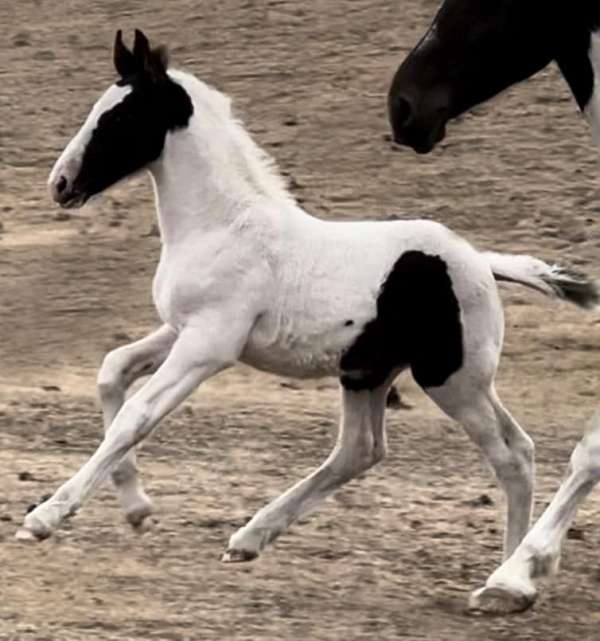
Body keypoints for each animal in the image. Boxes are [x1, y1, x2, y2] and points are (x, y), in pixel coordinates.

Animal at [18, 30, 600, 576]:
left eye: (119, 116)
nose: (60, 184)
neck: (224, 225)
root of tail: (480, 260)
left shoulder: (208, 345)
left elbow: (136, 415)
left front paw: (44, 517)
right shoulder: (182, 330)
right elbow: (112, 371)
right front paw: (136, 506)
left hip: (453, 378)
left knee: (512, 455)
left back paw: (508, 579)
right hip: (368, 373)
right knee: (362, 450)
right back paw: (249, 539)